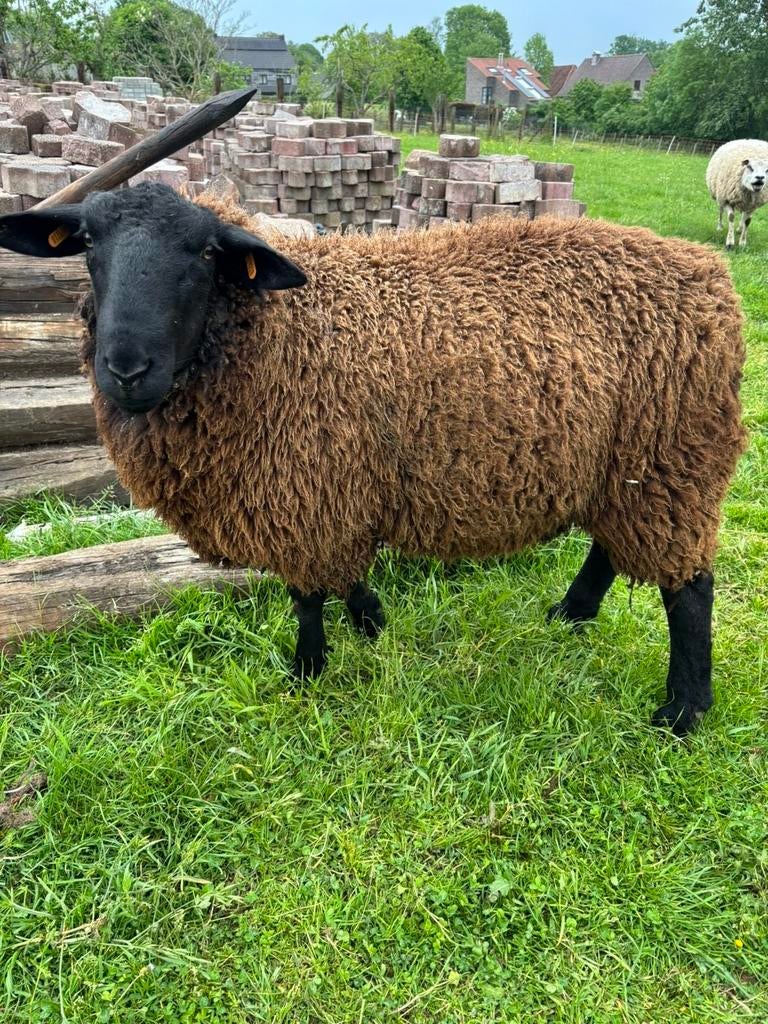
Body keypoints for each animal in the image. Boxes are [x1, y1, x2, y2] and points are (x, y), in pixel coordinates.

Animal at [0, 183, 747, 735]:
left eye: (207, 253)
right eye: (87, 244)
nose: (126, 369)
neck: (277, 337)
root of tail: (710, 277)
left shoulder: (303, 488)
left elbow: (305, 596)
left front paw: (307, 670)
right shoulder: (332, 489)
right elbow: (343, 574)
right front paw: (371, 621)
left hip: (673, 457)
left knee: (690, 591)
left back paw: (682, 711)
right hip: (625, 466)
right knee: (611, 546)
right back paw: (572, 614)